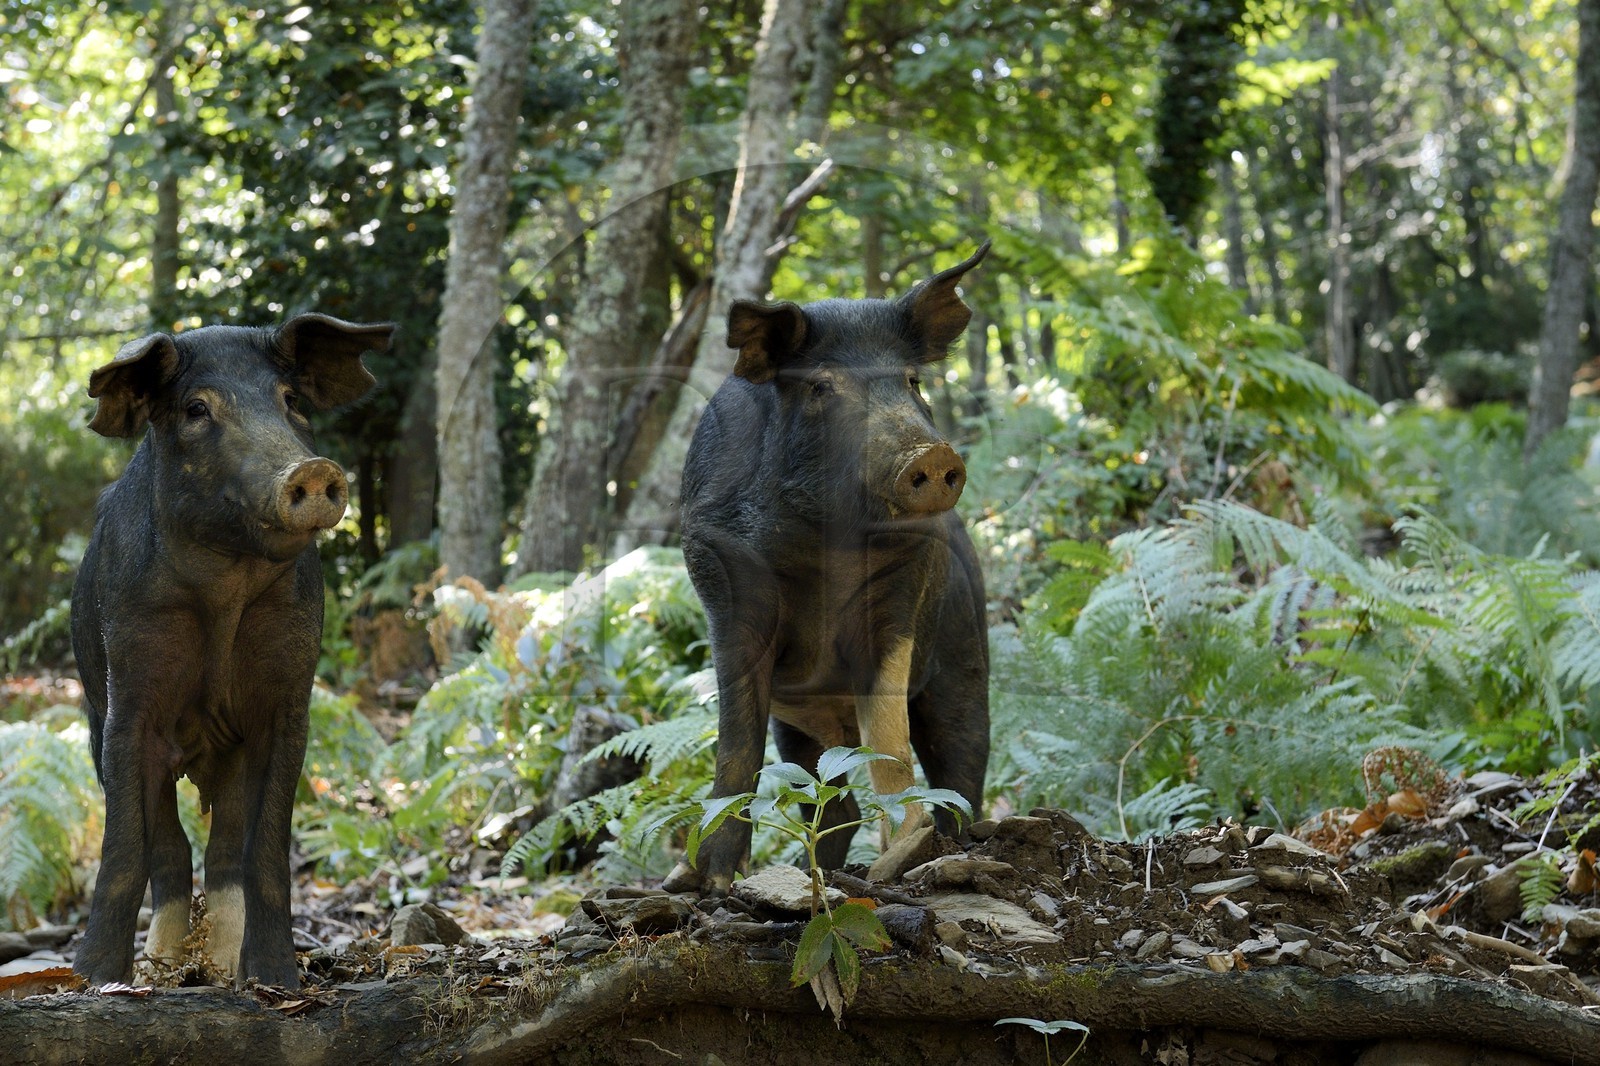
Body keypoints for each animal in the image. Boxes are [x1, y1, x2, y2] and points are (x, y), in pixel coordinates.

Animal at [70, 313, 390, 988]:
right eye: (196, 408)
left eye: (290, 400)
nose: (311, 470)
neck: (223, 594)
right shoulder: (126, 692)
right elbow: (125, 849)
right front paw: (93, 981)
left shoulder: (287, 698)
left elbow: (265, 851)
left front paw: (276, 981)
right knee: (170, 850)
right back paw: (164, 968)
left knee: (223, 851)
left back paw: (219, 968)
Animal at [663, 243, 992, 894]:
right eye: (820, 386)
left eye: (912, 381)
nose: (932, 454)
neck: (828, 550)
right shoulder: (724, 585)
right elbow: (736, 743)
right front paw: (705, 881)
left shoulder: (902, 602)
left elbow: (889, 738)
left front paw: (903, 855)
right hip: (802, 727)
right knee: (835, 799)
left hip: (967, 663)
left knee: (962, 772)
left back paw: (939, 849)